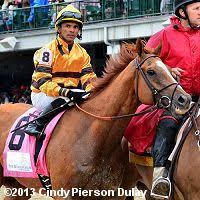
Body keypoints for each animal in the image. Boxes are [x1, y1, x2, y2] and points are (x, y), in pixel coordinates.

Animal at [0, 39, 191, 200]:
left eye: (170, 70)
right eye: (151, 71)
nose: (184, 99)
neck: (93, 136)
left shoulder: (112, 193)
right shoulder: (64, 193)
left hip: (17, 186)